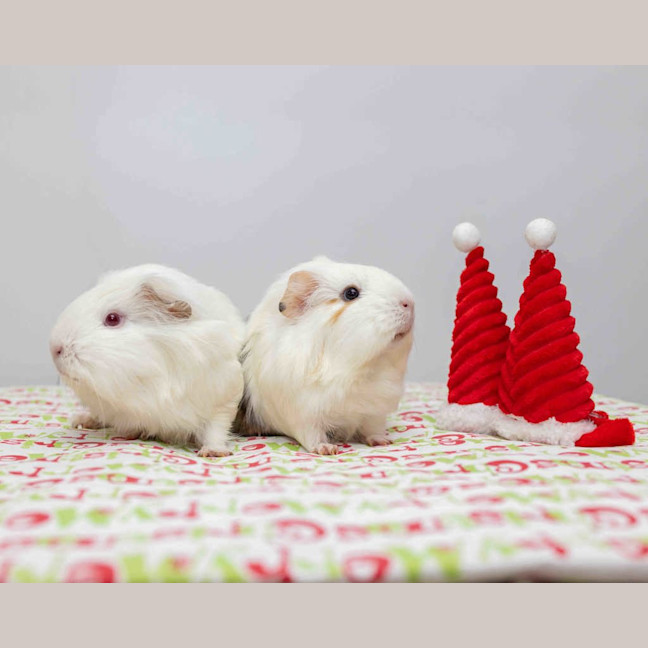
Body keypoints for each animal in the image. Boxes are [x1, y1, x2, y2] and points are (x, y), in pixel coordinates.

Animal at [49, 264, 244, 457]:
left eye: (112, 319)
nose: (54, 349)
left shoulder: (223, 400)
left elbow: (215, 430)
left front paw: (212, 452)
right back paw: (81, 421)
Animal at [235, 256, 415, 454]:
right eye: (351, 293)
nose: (409, 303)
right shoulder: (304, 415)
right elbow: (313, 436)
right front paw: (327, 449)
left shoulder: (374, 412)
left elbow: (372, 429)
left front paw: (383, 442)